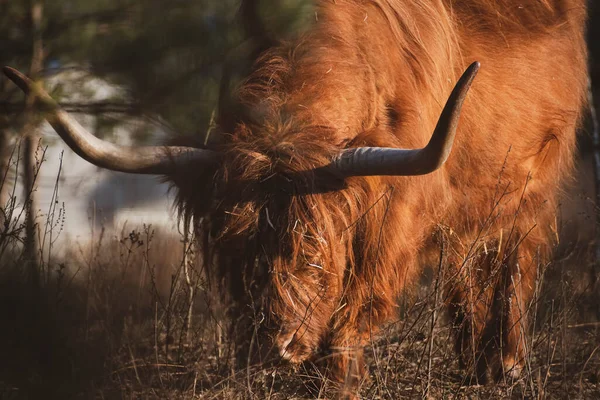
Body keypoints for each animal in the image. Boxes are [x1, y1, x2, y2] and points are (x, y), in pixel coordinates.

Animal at [2, 0, 588, 396]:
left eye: (314, 252)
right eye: (234, 249)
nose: (273, 347)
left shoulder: (389, 224)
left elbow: (353, 312)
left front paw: (339, 381)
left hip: (533, 185)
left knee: (511, 262)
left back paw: (504, 366)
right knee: (468, 270)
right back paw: (473, 362)